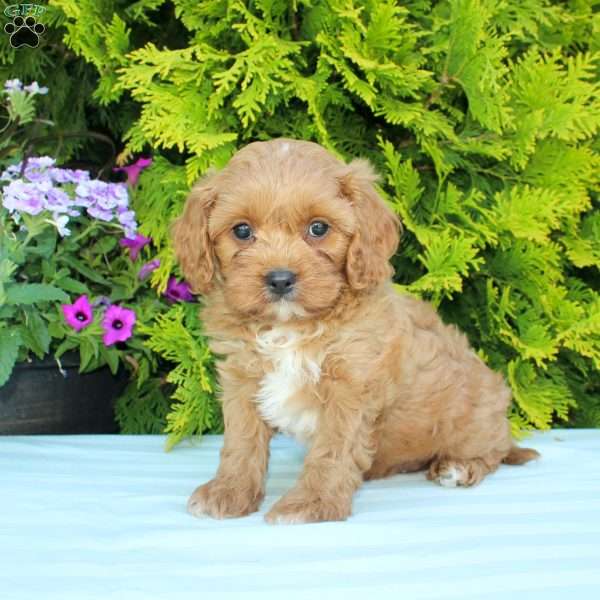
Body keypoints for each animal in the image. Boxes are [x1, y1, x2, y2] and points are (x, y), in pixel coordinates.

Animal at [170, 138, 540, 524]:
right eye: (242, 231)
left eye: (319, 228)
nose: (280, 279)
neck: (291, 327)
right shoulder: (242, 380)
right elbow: (241, 442)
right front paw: (229, 492)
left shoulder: (351, 386)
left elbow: (332, 451)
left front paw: (312, 504)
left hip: (477, 418)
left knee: (493, 452)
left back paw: (459, 468)